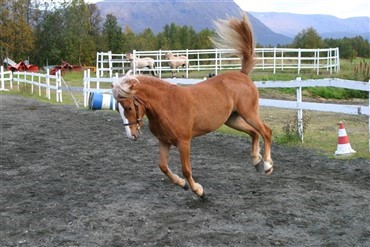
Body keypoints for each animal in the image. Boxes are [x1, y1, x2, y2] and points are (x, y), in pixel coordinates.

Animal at [114, 14, 274, 198]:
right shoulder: (164, 141)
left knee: (266, 132)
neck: (166, 105)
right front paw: (182, 184)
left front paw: (199, 191)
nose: (131, 135)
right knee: (254, 133)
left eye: (129, 107)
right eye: (117, 109)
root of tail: (242, 75)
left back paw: (267, 165)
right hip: (232, 119)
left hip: (249, 114)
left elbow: (186, 170)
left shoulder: (184, 142)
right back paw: (256, 160)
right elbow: (163, 166)